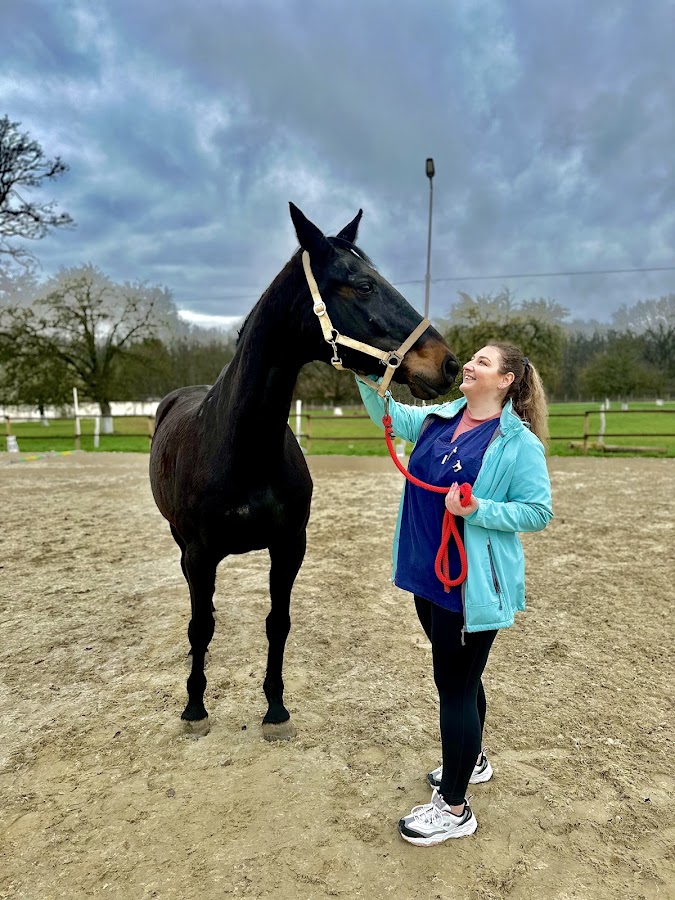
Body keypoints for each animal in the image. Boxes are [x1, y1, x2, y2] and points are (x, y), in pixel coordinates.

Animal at [149, 203, 459, 740]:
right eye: (362, 285)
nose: (448, 365)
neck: (244, 450)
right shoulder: (202, 553)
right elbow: (200, 627)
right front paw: (195, 707)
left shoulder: (289, 546)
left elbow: (278, 623)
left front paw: (275, 708)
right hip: (180, 541)